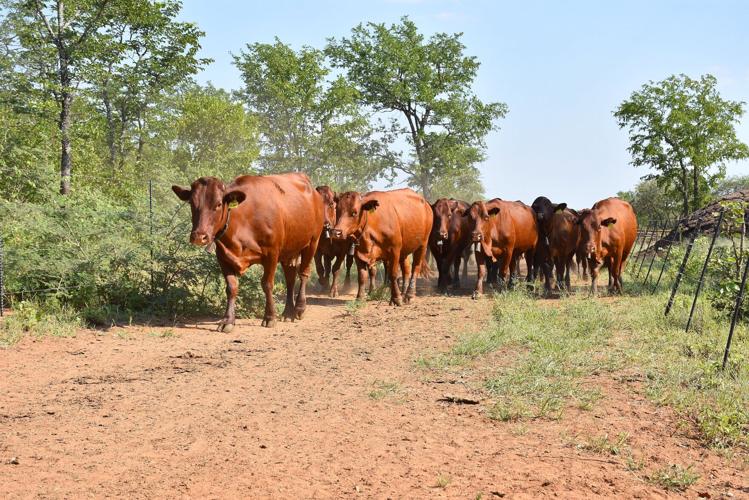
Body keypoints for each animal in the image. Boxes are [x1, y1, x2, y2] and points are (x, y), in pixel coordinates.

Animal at [172, 173, 323, 330]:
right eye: (191, 203)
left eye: (218, 204)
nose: (199, 236)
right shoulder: (223, 256)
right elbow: (231, 287)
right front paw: (228, 320)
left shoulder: (272, 253)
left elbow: (267, 284)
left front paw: (270, 317)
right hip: (289, 249)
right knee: (290, 279)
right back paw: (288, 312)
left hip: (312, 242)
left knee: (303, 274)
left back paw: (299, 308)